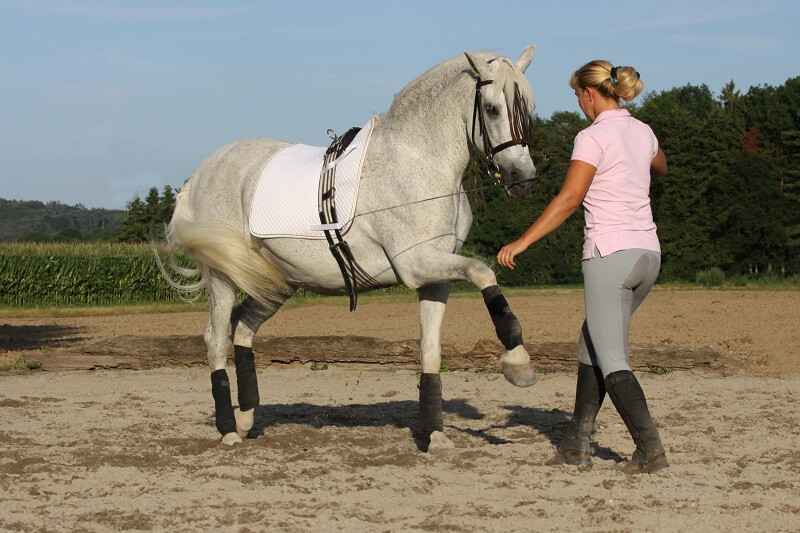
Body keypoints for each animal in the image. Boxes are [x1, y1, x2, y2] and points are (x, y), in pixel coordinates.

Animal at [158, 46, 536, 454]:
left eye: (529, 108)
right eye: (493, 108)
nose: (523, 179)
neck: (418, 161)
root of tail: (200, 174)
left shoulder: (436, 278)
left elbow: (431, 350)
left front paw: (435, 435)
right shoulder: (417, 264)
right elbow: (484, 271)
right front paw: (518, 363)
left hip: (276, 282)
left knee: (242, 327)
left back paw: (246, 418)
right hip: (224, 276)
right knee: (215, 338)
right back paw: (228, 430)